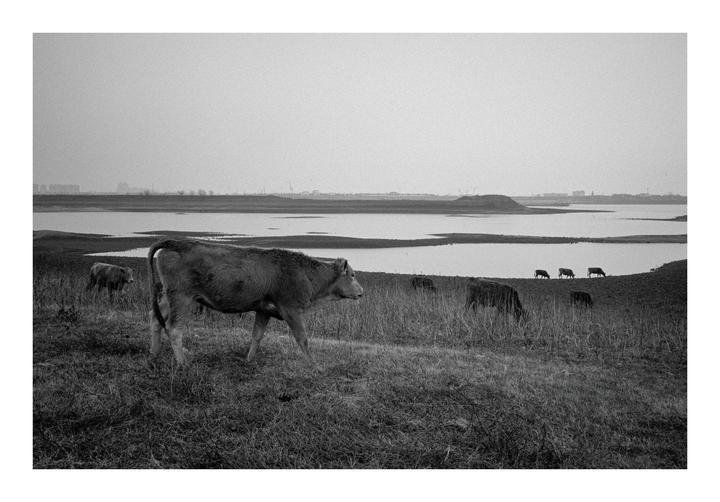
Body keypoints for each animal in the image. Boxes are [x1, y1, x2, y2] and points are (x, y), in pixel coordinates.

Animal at [147, 239, 364, 368]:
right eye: (352, 275)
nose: (362, 292)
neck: (305, 273)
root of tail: (175, 242)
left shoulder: (263, 310)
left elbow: (257, 335)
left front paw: (249, 359)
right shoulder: (292, 311)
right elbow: (302, 339)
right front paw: (314, 365)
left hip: (167, 298)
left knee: (156, 320)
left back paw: (154, 354)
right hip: (182, 299)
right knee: (174, 328)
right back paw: (183, 363)